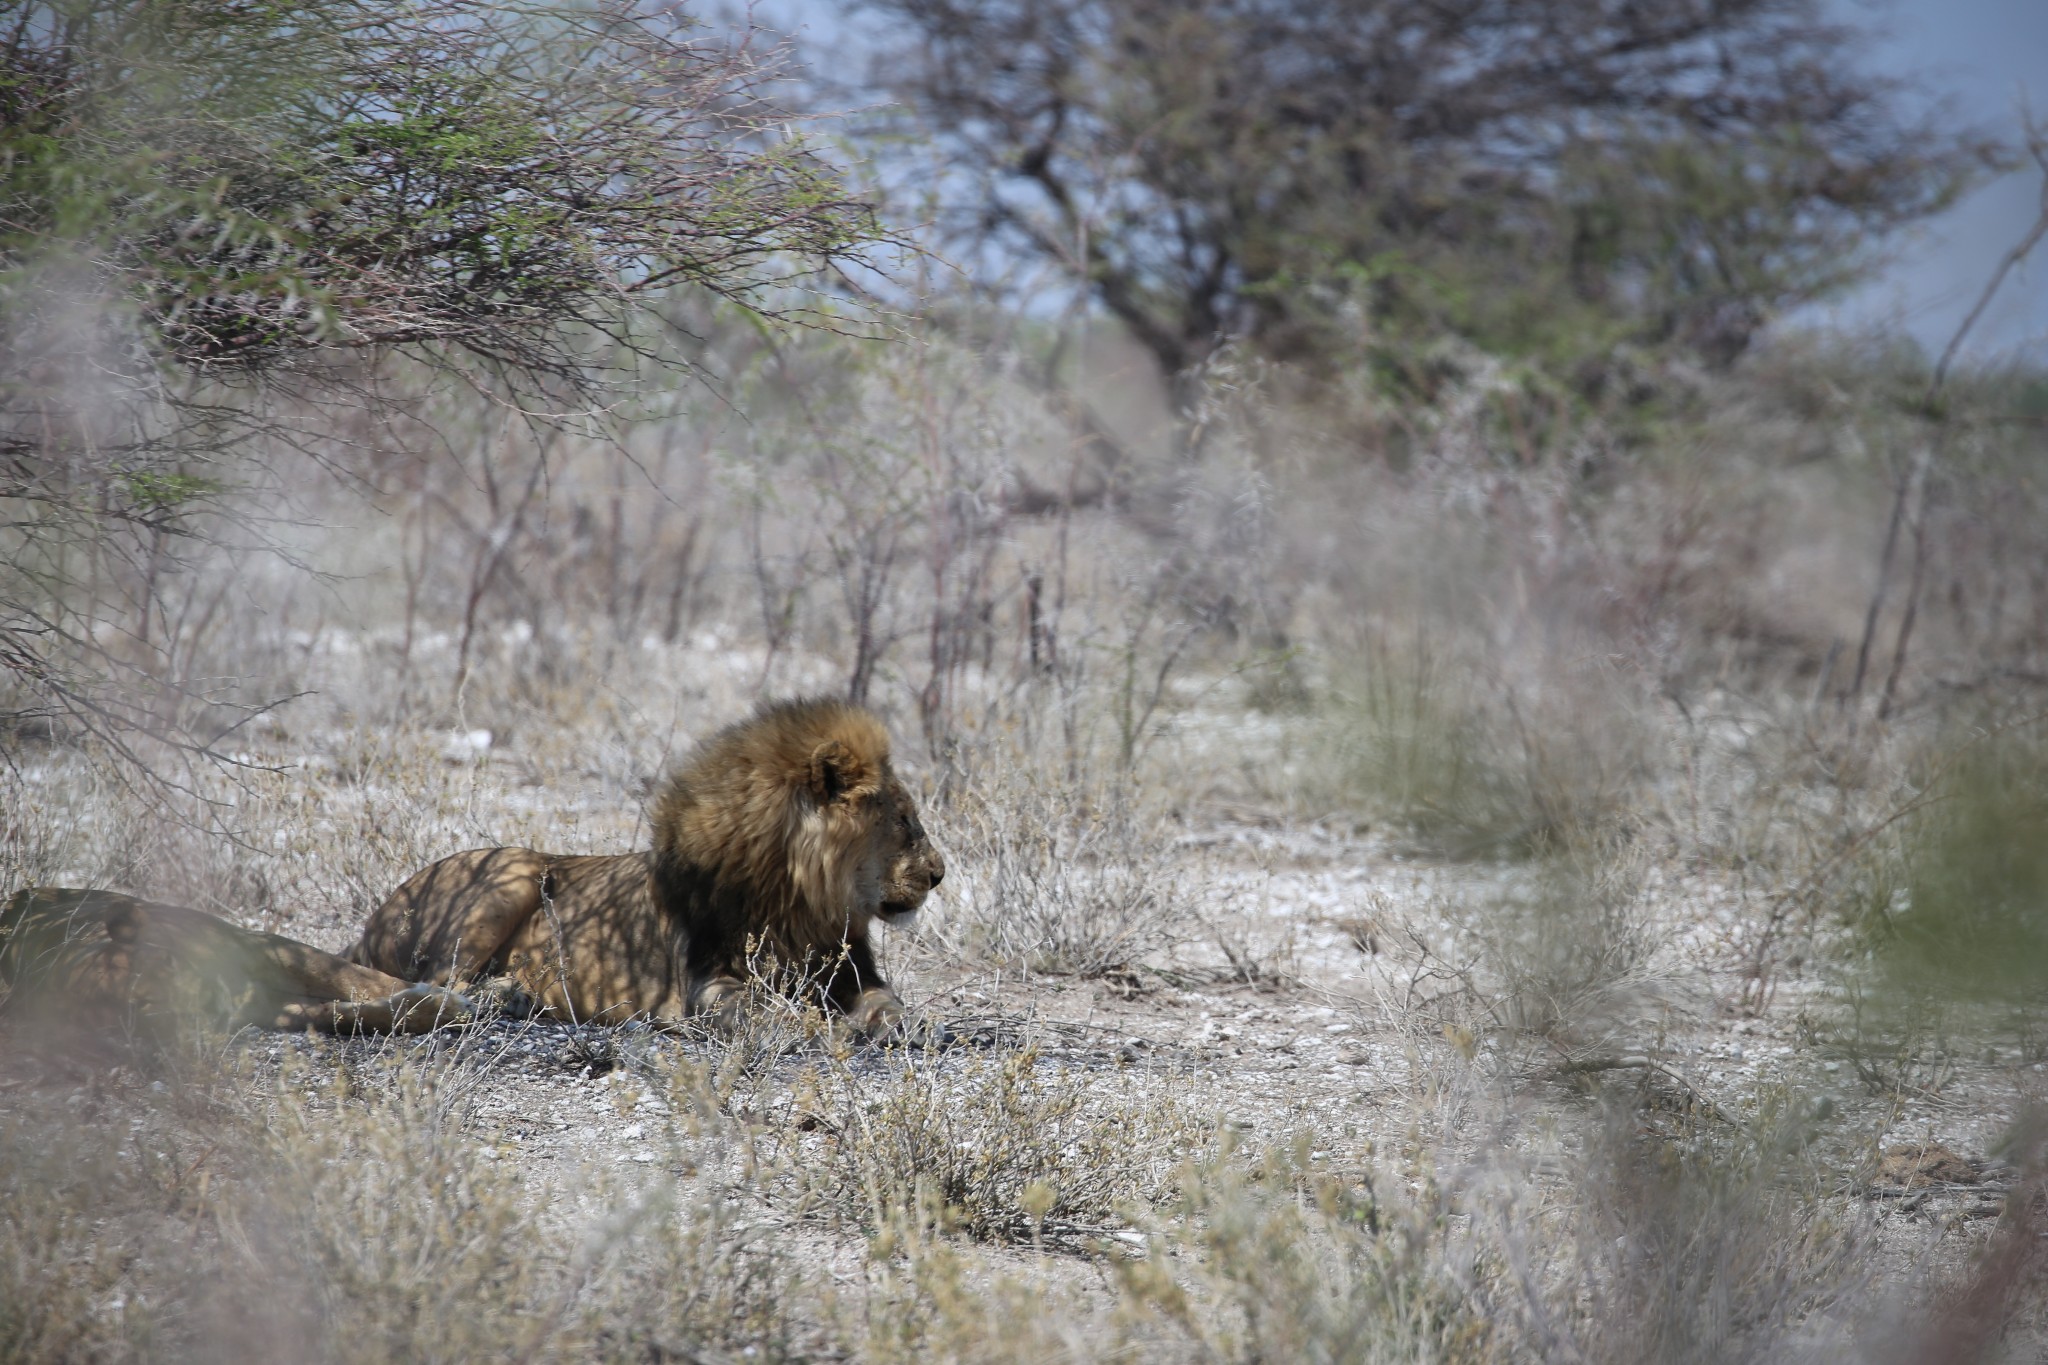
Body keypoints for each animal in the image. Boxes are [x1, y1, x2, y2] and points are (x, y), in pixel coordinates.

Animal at [2, 888, 471, 1035]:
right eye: (145, 1009)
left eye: (169, 962)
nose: (212, 996)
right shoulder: (272, 1008)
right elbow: (345, 1015)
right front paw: (436, 1007)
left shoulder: (262, 945)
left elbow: (359, 978)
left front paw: (453, 1002)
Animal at [350, 703, 942, 1035]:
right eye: (904, 820)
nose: (938, 875)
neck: (800, 897)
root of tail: (371, 922)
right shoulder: (705, 984)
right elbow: (756, 1006)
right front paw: (808, 1022)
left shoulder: (850, 970)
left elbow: (890, 1001)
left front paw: (905, 1025)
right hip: (511, 871)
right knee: (437, 984)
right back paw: (506, 994)